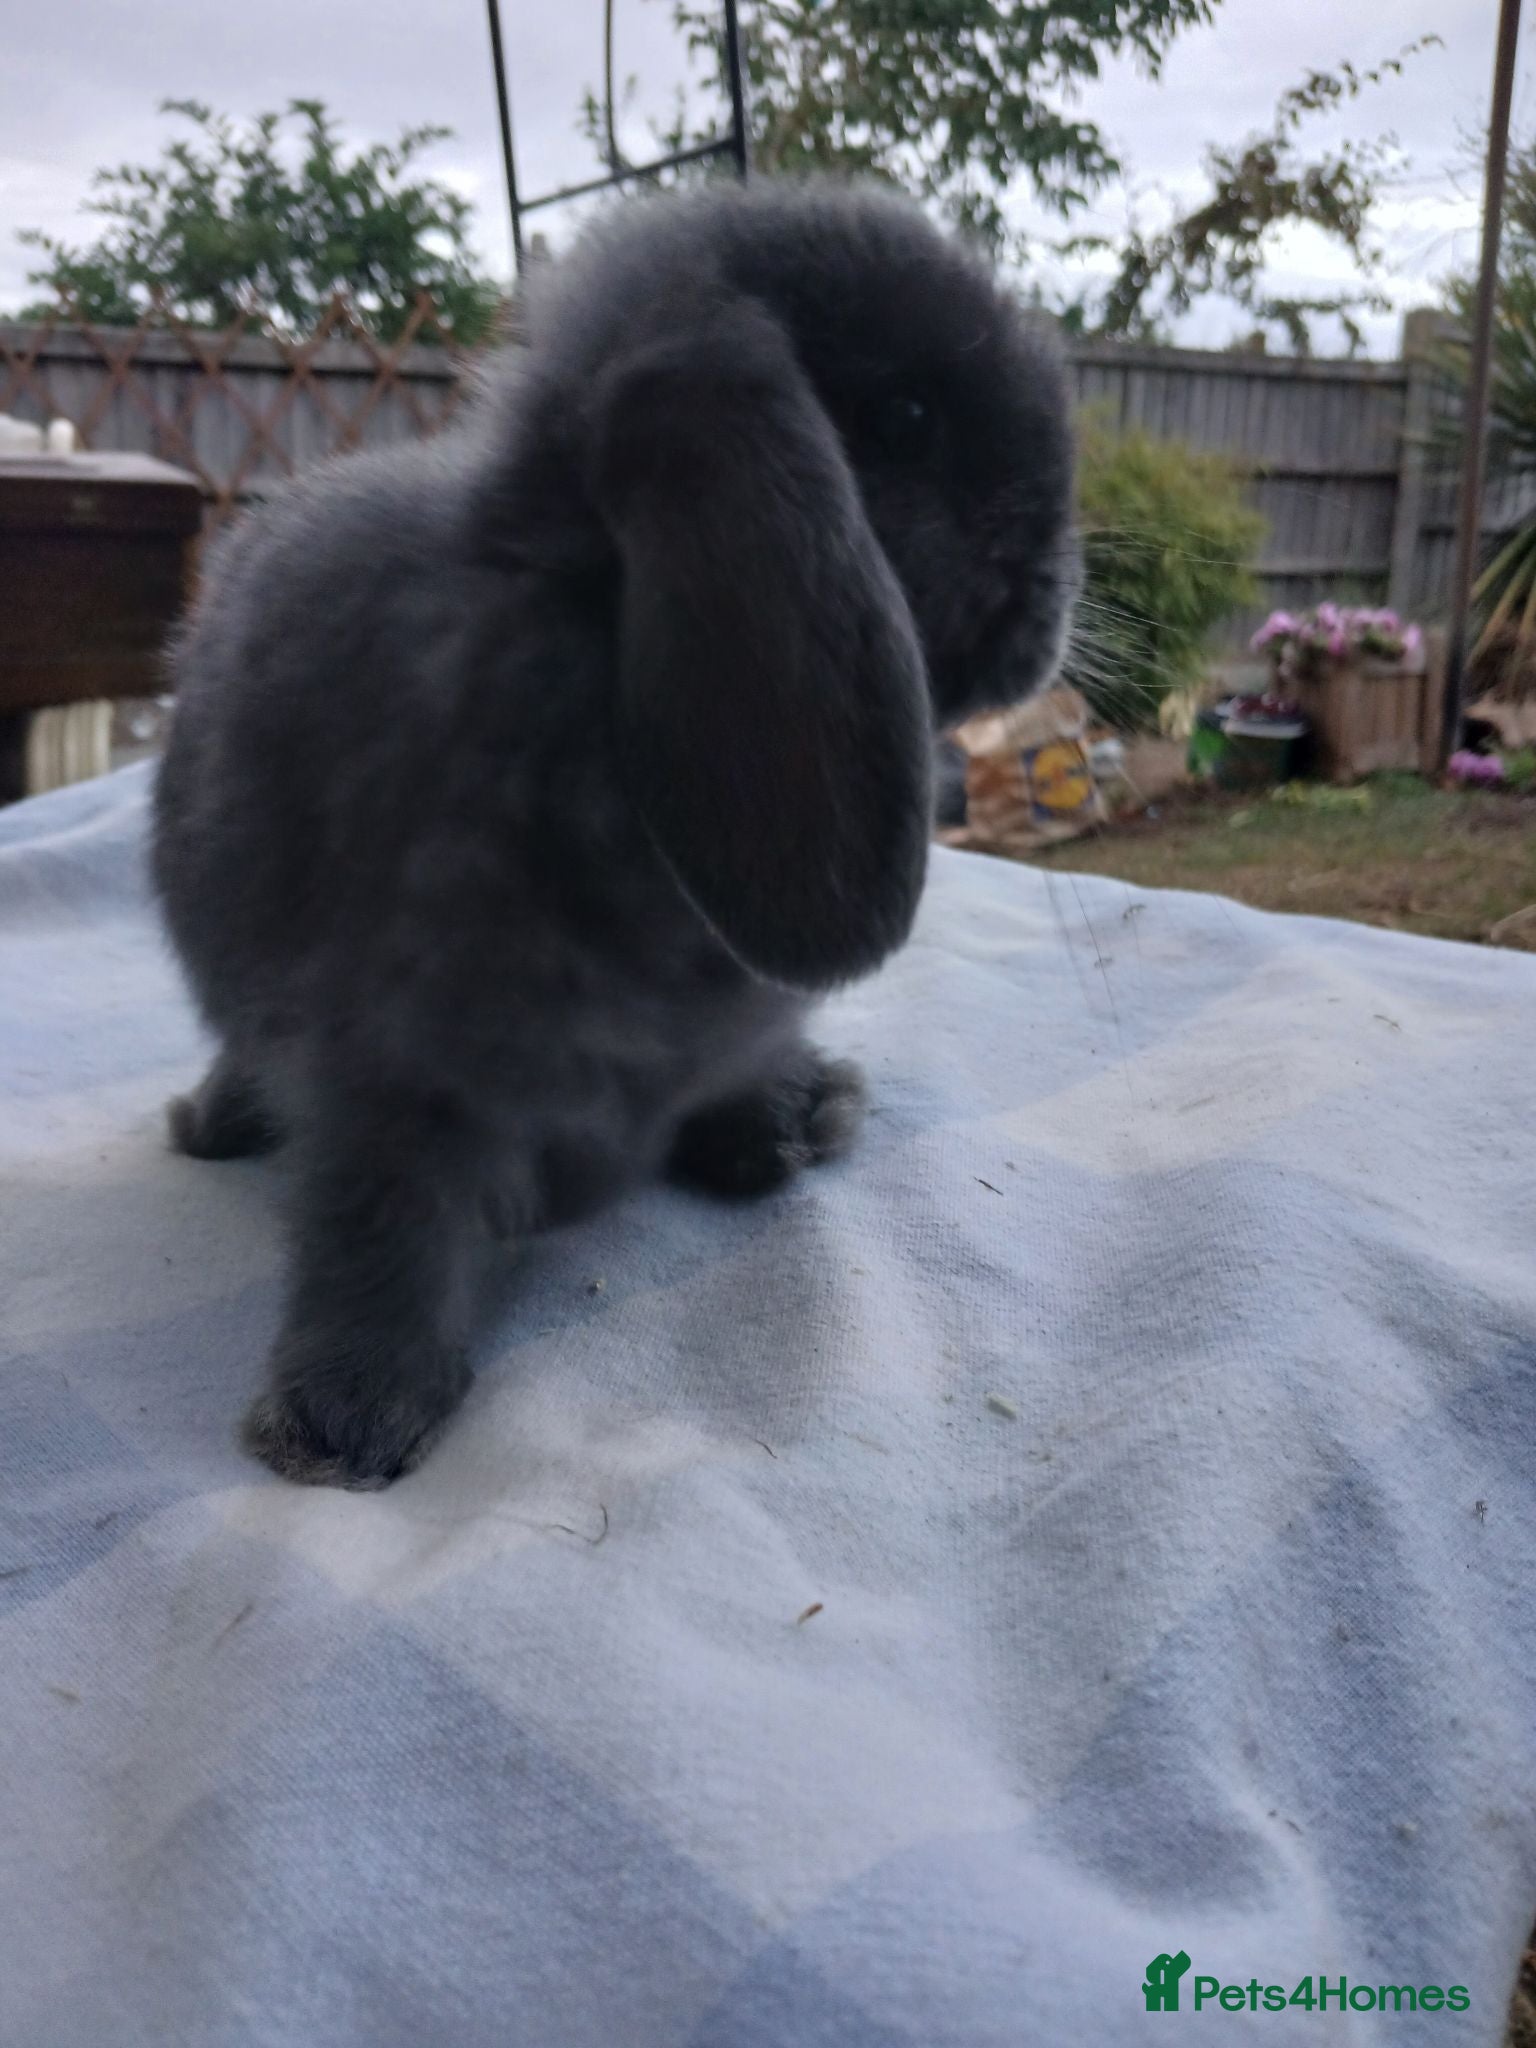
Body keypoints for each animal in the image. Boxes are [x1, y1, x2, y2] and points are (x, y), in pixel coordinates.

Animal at [151, 177, 1078, 1489]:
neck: (582, 644)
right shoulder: (392, 1066)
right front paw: (349, 1415)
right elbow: (384, 1220)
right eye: (903, 417)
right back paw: (217, 1127)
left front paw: (783, 1114)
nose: (1059, 581)